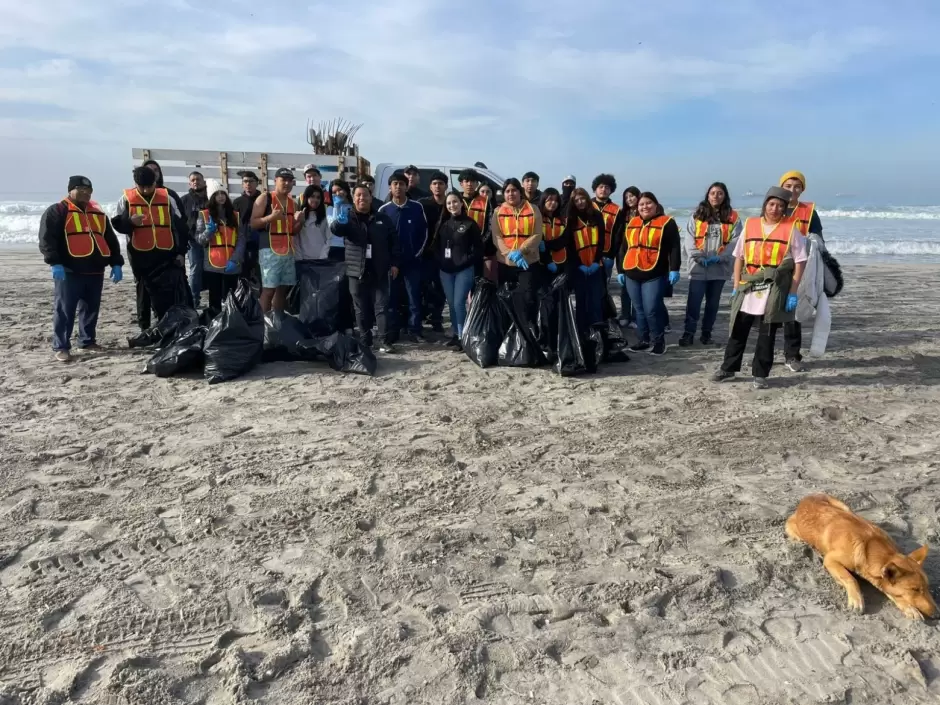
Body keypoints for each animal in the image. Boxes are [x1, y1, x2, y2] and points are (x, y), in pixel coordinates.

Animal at [784, 492, 932, 620]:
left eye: (926, 587)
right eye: (915, 589)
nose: (936, 613)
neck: (869, 547)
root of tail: (807, 497)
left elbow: (892, 592)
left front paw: (909, 608)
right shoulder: (831, 560)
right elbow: (850, 578)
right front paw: (856, 600)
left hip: (844, 507)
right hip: (794, 532)